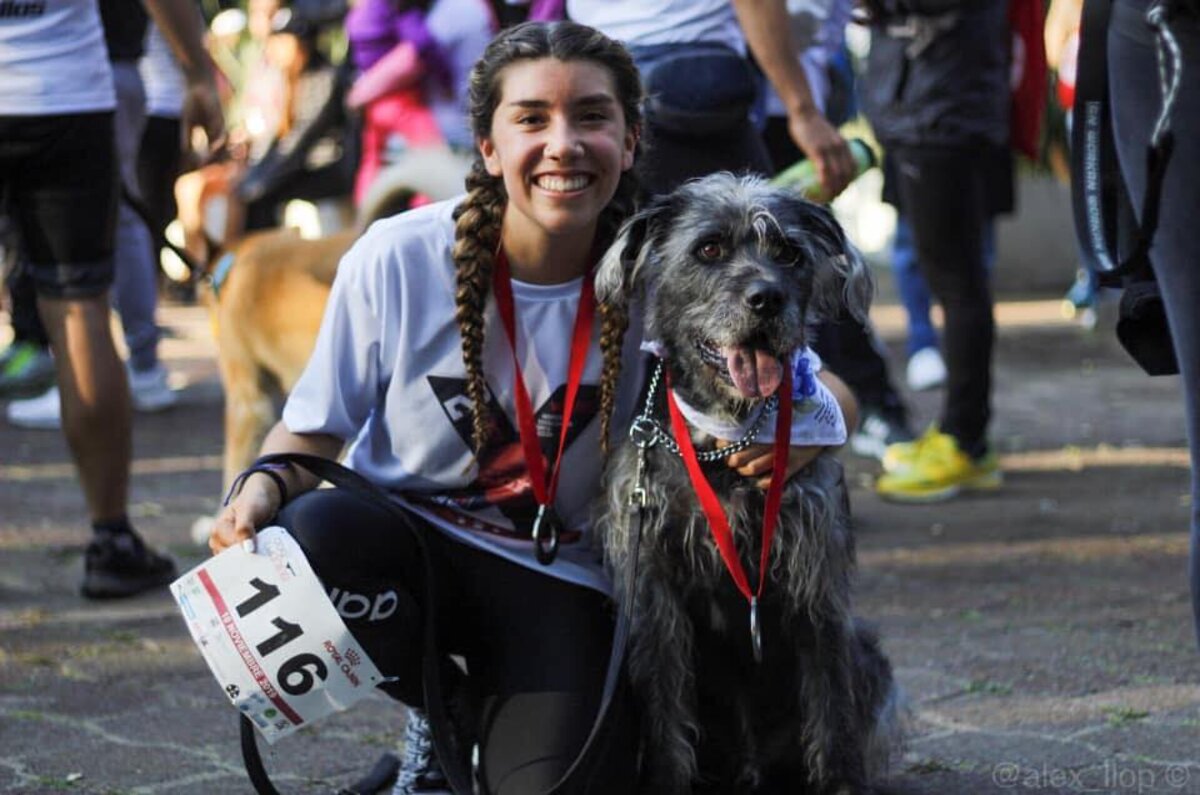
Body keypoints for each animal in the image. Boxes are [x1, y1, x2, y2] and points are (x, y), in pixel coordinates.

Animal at [595, 176, 902, 795]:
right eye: (709, 248)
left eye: (788, 253)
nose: (767, 299)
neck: (725, 442)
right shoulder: (654, 588)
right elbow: (664, 708)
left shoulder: (816, 579)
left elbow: (832, 708)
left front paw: (842, 782)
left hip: (869, 657)